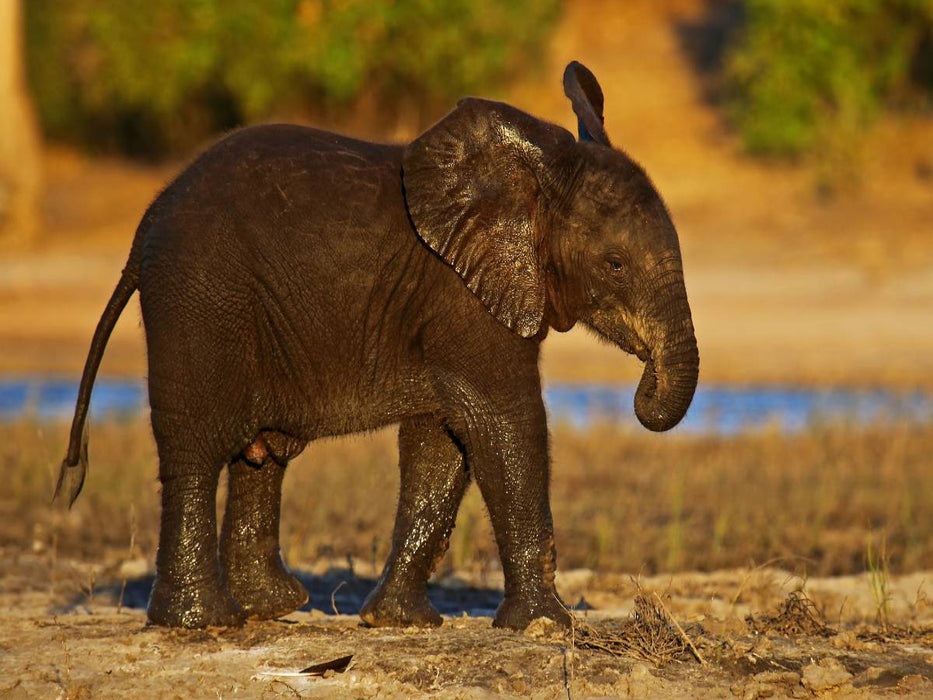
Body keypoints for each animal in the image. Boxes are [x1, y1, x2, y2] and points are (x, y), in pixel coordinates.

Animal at [57, 61, 698, 630]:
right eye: (614, 264)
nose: (644, 389)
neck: (531, 183)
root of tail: (143, 230)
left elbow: (444, 443)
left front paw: (399, 622)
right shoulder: (460, 294)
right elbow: (504, 423)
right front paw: (548, 627)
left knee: (258, 455)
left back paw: (272, 607)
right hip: (200, 297)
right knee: (196, 445)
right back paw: (202, 622)